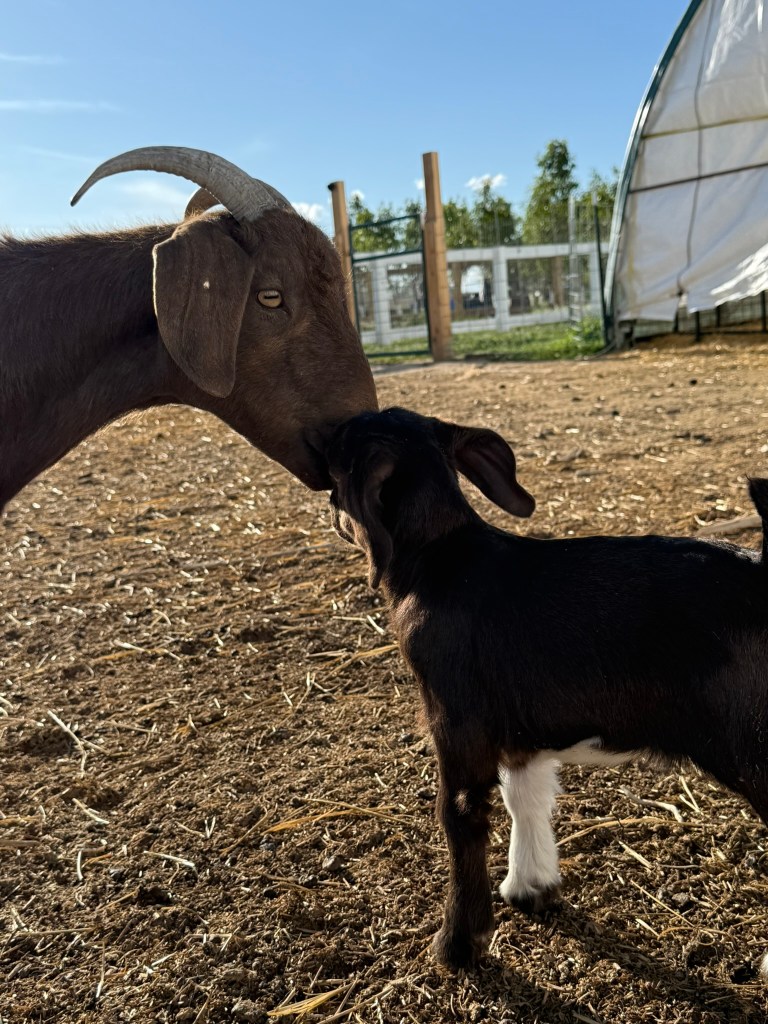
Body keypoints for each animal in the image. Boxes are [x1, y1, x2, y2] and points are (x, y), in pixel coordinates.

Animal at [327, 406, 768, 971]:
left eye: (338, 467)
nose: (332, 509)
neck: (444, 560)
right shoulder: (521, 728)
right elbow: (526, 795)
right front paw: (529, 887)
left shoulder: (456, 718)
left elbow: (460, 813)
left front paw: (458, 943)